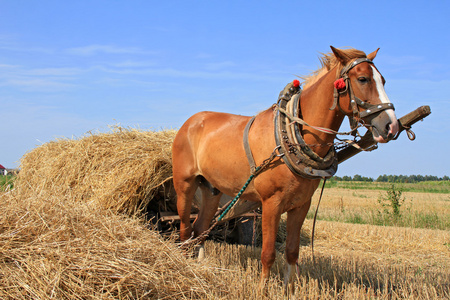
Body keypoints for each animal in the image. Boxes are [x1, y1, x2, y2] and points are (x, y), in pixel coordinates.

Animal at [171, 47, 400, 290]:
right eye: (363, 79)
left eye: (383, 80)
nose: (391, 125)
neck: (293, 137)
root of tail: (190, 122)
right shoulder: (271, 203)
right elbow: (268, 253)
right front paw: (262, 289)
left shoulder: (301, 204)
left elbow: (291, 251)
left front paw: (289, 287)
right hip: (184, 185)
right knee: (185, 229)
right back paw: (184, 267)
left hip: (212, 190)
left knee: (200, 228)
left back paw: (200, 265)